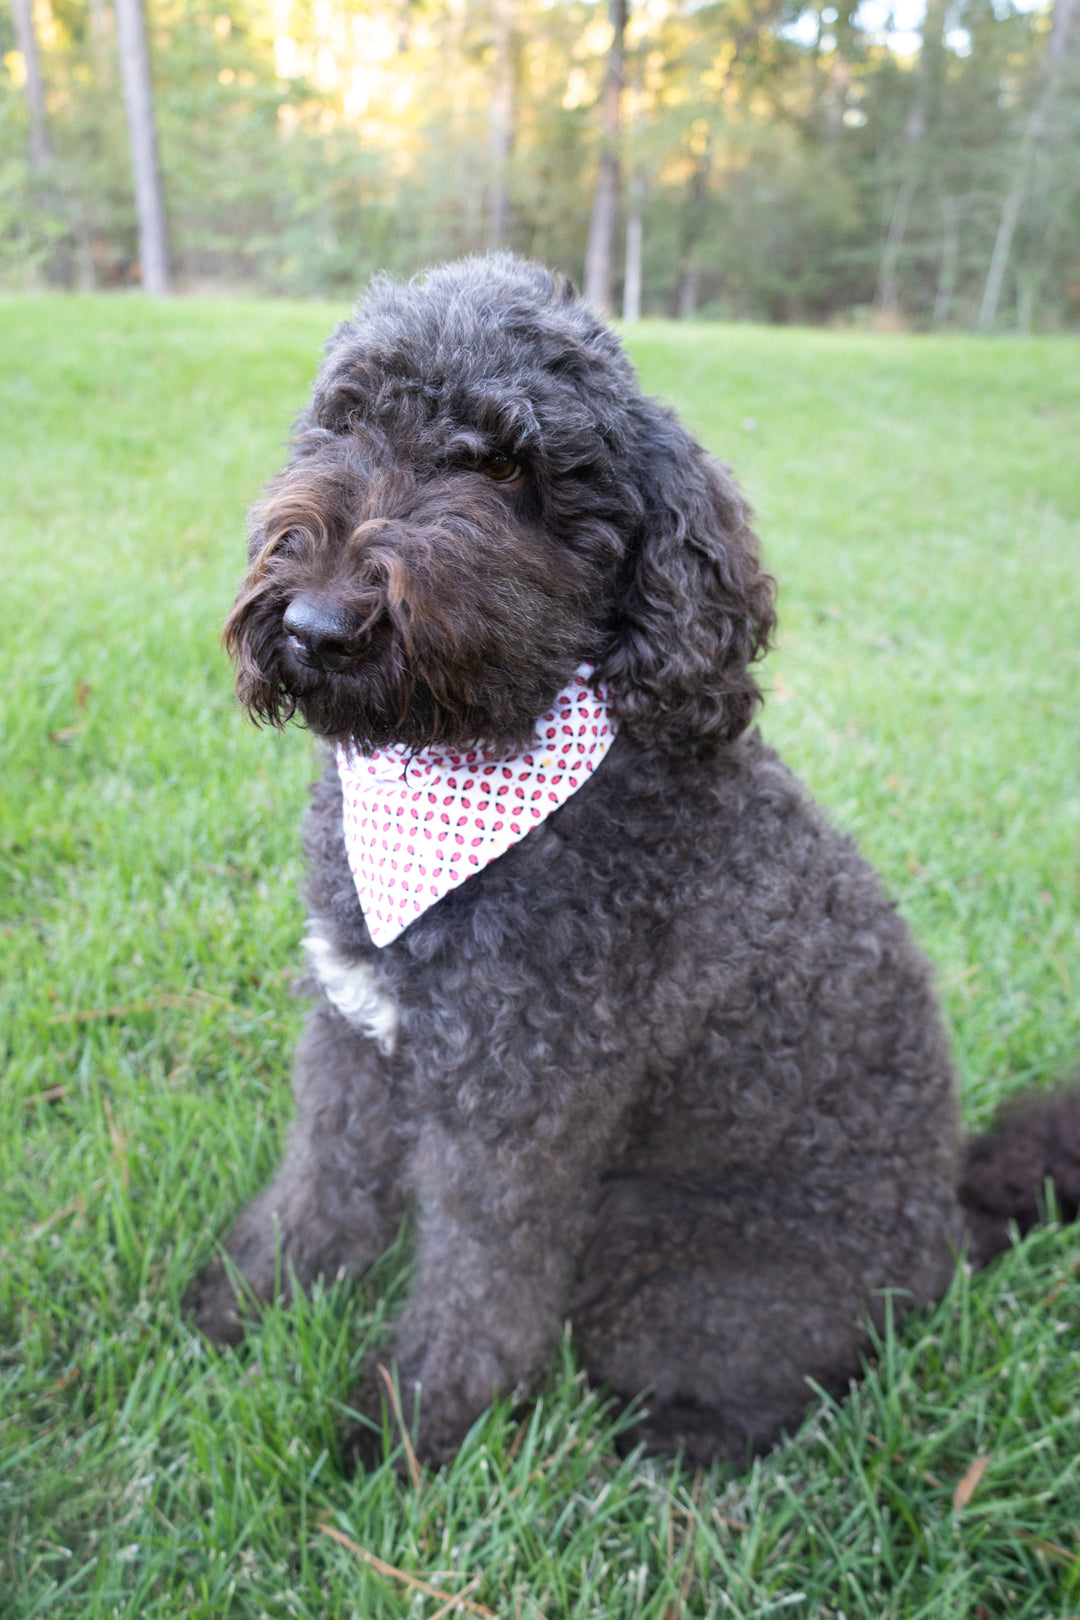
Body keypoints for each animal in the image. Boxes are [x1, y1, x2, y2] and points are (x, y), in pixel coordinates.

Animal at [187, 252, 1080, 1470]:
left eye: (506, 466)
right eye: (344, 421)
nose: (319, 626)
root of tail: (954, 1221)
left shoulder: (519, 1113)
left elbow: (481, 1294)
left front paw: (411, 1433)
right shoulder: (356, 1036)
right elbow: (318, 1191)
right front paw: (240, 1305)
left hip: (662, 1263)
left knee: (772, 1388)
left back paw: (667, 1446)